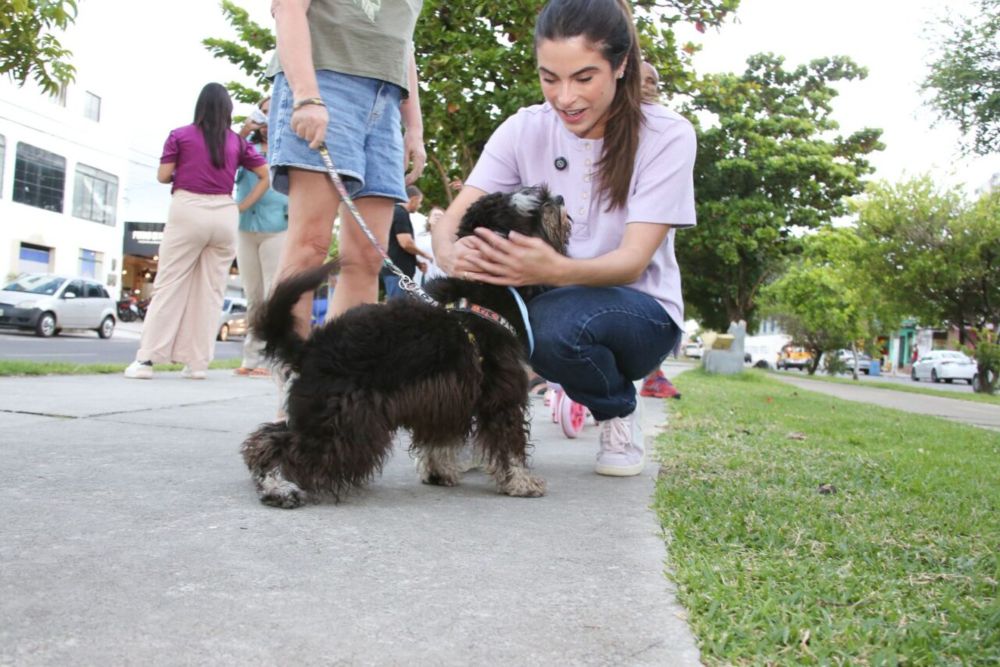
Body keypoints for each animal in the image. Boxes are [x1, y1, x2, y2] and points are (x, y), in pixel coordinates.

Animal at [239, 185, 572, 508]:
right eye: (534, 206)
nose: (559, 199)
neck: (486, 287)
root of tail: (308, 348)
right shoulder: (500, 393)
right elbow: (510, 442)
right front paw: (522, 482)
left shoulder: (445, 396)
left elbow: (440, 439)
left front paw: (438, 472)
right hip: (340, 422)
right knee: (282, 446)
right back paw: (279, 489)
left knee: (265, 438)